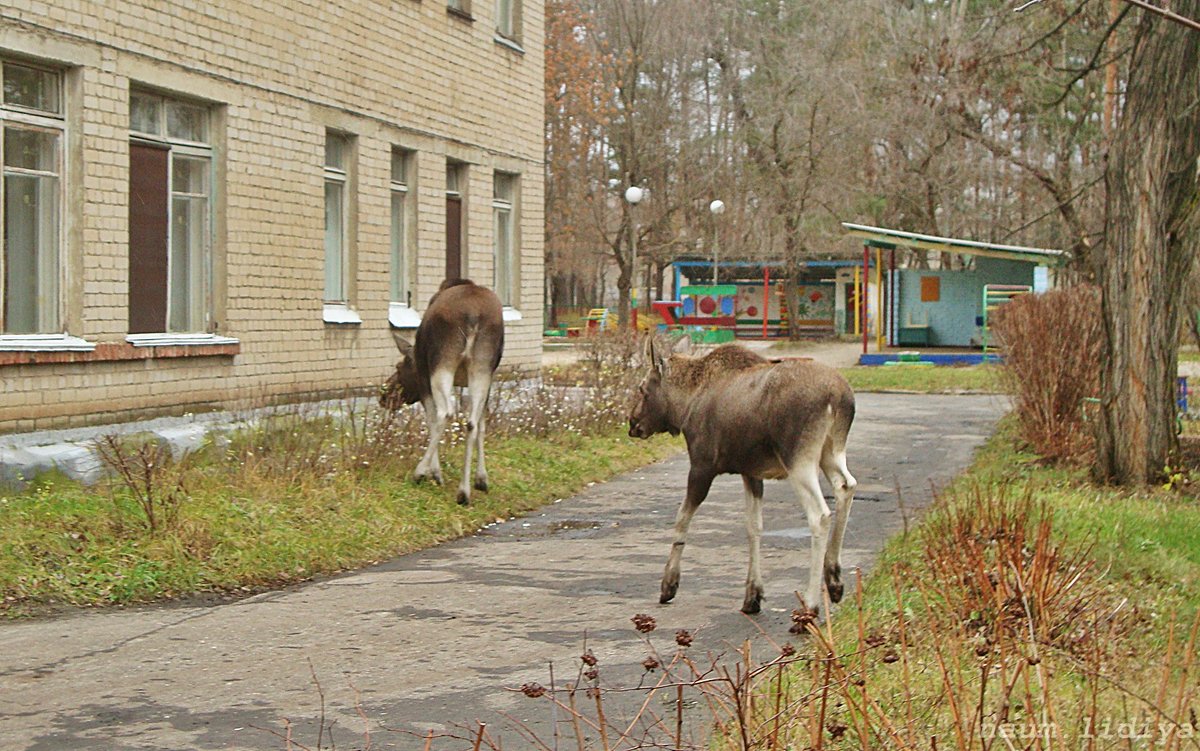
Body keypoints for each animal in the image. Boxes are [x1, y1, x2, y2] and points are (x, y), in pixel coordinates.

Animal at [379, 275, 501, 503]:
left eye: (399, 367)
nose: (384, 396)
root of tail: (473, 316)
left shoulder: (424, 377)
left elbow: (431, 420)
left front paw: (434, 473)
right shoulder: (489, 380)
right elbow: (482, 424)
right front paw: (481, 479)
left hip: (442, 364)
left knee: (445, 413)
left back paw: (420, 473)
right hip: (481, 368)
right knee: (471, 422)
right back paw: (464, 491)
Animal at [628, 338, 854, 614]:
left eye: (642, 388)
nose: (632, 423)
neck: (684, 405)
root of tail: (841, 398)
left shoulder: (702, 466)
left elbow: (681, 520)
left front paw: (669, 584)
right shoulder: (751, 473)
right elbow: (754, 527)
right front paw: (752, 595)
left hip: (799, 459)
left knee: (820, 514)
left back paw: (810, 604)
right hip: (831, 451)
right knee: (846, 486)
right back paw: (834, 580)